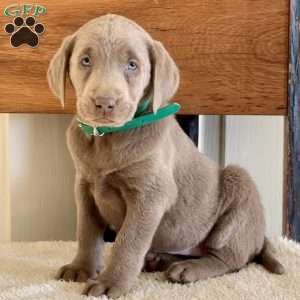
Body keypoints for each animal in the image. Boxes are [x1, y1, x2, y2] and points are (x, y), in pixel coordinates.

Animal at [47, 13, 284, 298]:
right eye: (85, 60)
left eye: (132, 65)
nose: (104, 102)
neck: (107, 138)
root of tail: (260, 237)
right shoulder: (84, 185)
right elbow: (86, 231)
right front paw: (80, 268)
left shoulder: (151, 194)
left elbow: (128, 241)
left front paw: (111, 282)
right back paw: (160, 259)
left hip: (239, 186)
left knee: (231, 258)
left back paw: (187, 269)